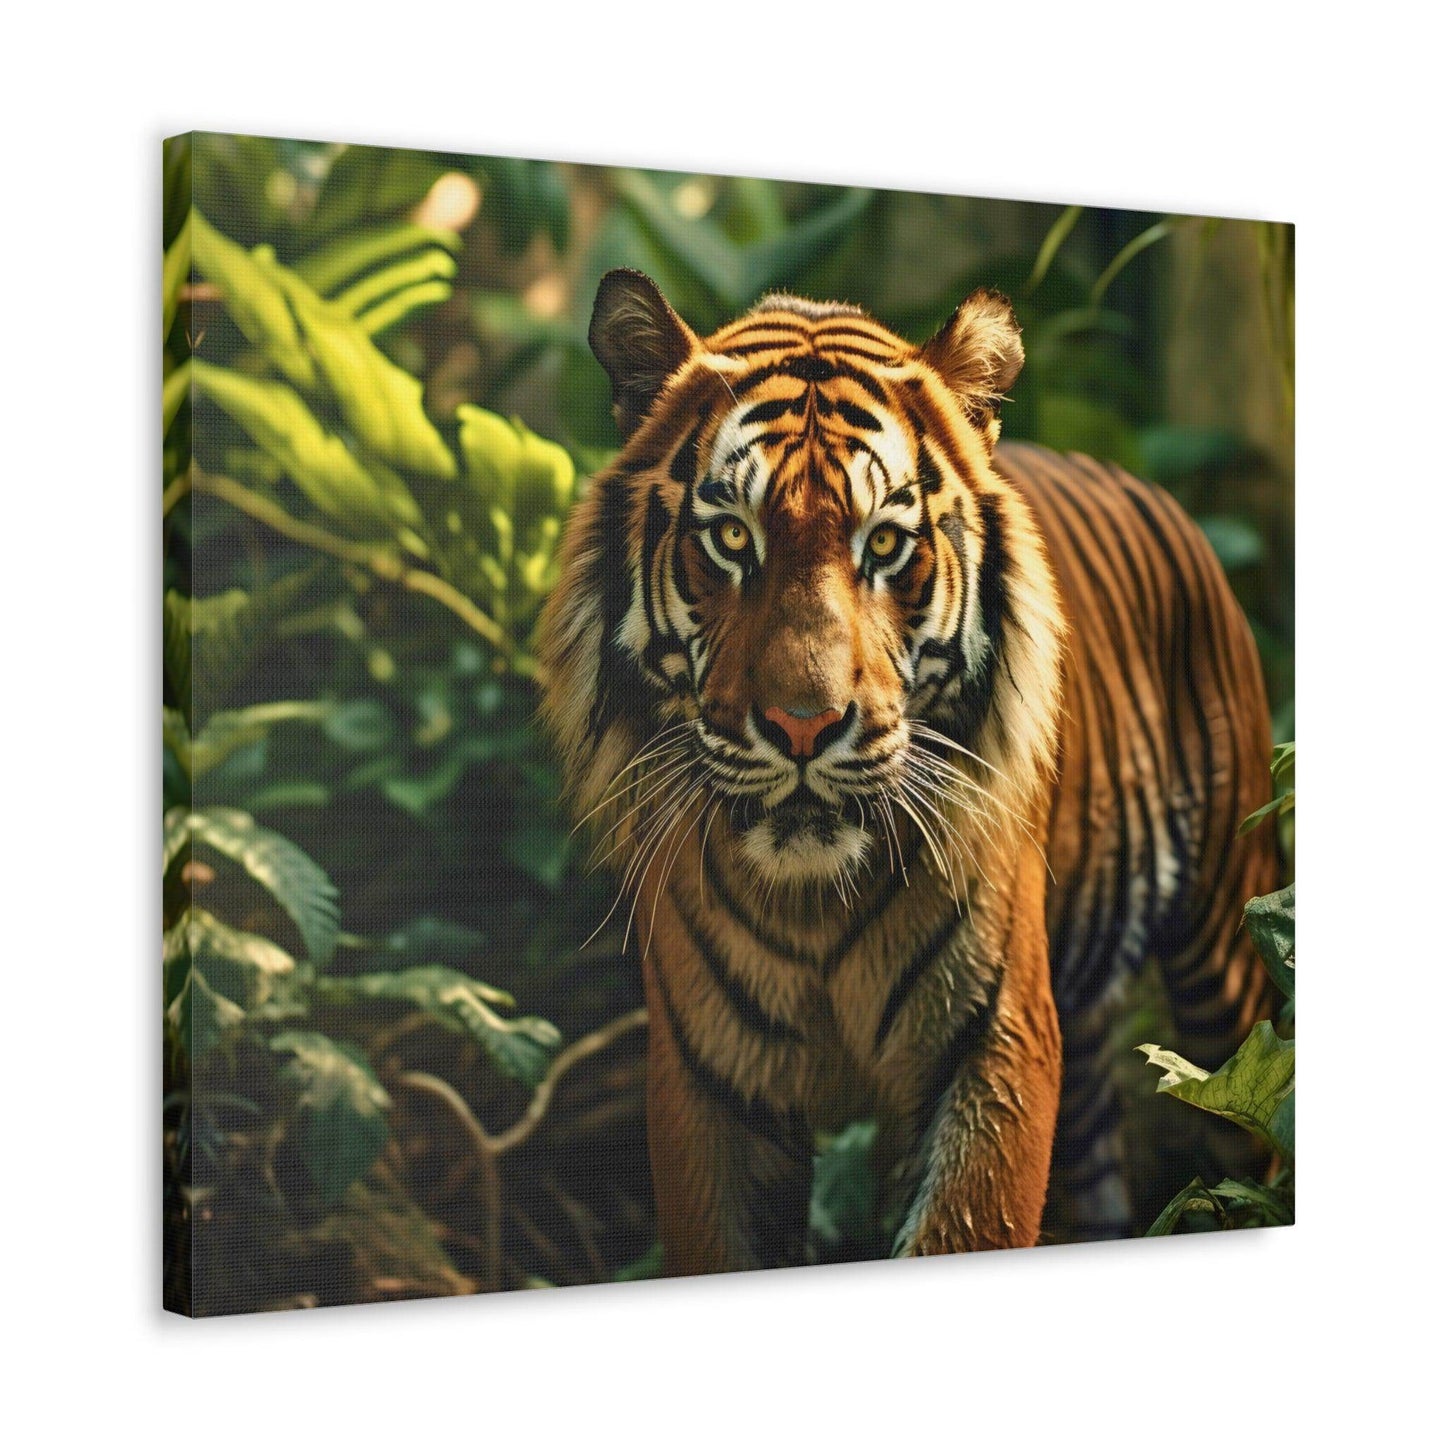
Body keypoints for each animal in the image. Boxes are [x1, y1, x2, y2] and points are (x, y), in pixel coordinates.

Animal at [538, 268, 1278, 1273]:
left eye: (883, 545)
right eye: (730, 539)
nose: (803, 725)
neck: (812, 905)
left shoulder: (991, 1047)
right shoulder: (708, 1082)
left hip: (1228, 954)